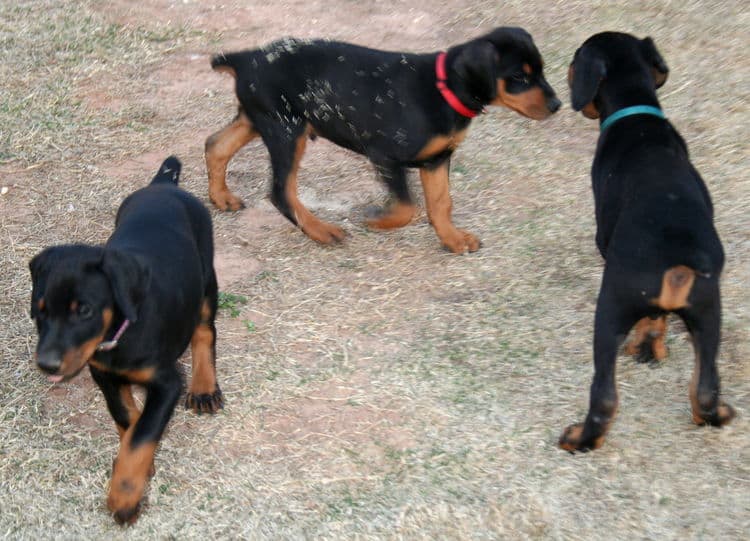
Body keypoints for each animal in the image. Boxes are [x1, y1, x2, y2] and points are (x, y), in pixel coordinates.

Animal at [30, 157, 223, 524]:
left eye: (84, 310)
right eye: (41, 311)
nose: (46, 364)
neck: (118, 338)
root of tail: (164, 184)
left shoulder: (167, 382)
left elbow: (143, 434)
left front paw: (124, 496)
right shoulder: (103, 375)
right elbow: (126, 417)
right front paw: (134, 464)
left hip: (207, 275)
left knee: (205, 330)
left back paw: (205, 388)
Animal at [207, 26, 564, 252]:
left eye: (542, 70)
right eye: (519, 77)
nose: (557, 105)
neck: (444, 89)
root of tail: (248, 56)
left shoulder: (436, 159)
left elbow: (440, 204)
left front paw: (453, 239)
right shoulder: (384, 155)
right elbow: (408, 207)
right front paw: (378, 219)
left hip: (259, 119)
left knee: (216, 145)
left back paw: (221, 197)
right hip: (286, 130)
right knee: (281, 191)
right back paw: (322, 231)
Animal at [560, 30, 736, 452]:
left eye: (574, 60)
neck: (637, 114)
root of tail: (675, 266)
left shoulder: (603, 236)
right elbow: (657, 320)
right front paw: (651, 349)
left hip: (609, 312)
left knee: (604, 397)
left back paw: (579, 439)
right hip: (709, 316)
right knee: (706, 388)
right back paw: (717, 415)